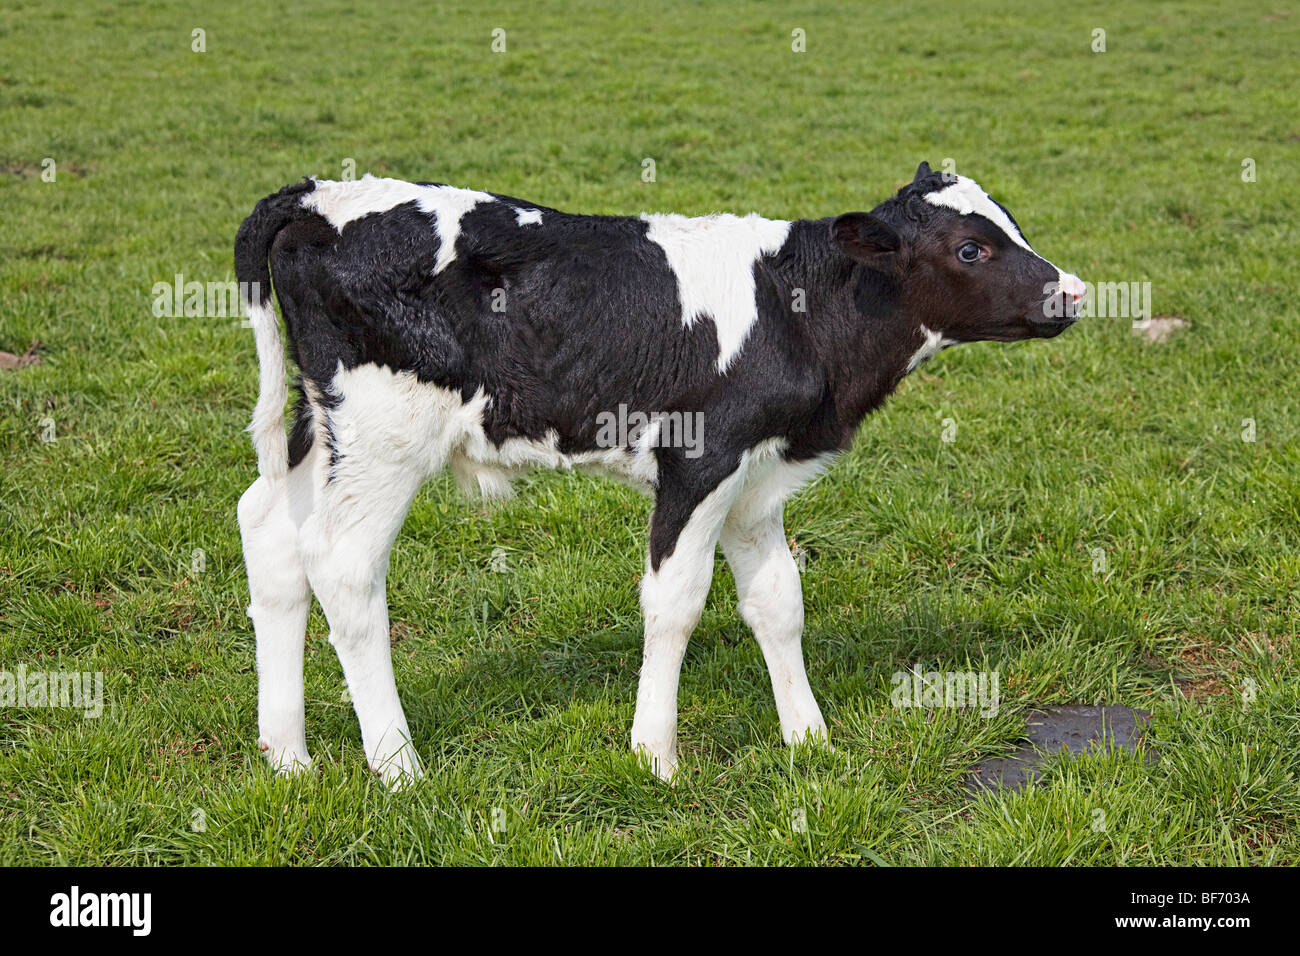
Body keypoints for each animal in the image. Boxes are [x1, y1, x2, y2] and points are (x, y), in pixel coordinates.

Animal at [234, 162, 1085, 787]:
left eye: (1009, 223)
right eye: (971, 249)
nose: (1074, 290)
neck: (799, 309)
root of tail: (318, 195)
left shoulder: (756, 476)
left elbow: (779, 602)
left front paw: (809, 740)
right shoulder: (700, 462)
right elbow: (675, 604)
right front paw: (655, 757)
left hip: (320, 424)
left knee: (271, 533)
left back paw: (288, 756)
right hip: (386, 434)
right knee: (343, 567)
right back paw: (398, 767)